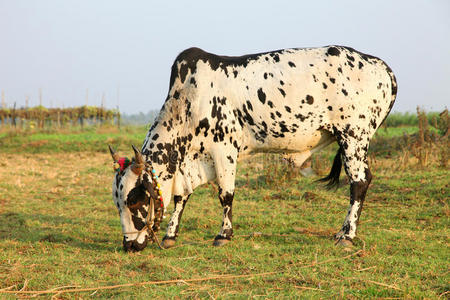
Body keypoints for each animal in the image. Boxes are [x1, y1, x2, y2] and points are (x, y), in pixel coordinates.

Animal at [109, 45, 398, 251]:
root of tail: (382, 67)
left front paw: (223, 235)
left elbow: (225, 195)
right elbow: (181, 197)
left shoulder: (224, 150)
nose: (128, 245)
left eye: (134, 200)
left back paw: (346, 235)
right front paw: (171, 235)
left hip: (353, 138)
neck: (187, 102)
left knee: (359, 183)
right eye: (117, 202)